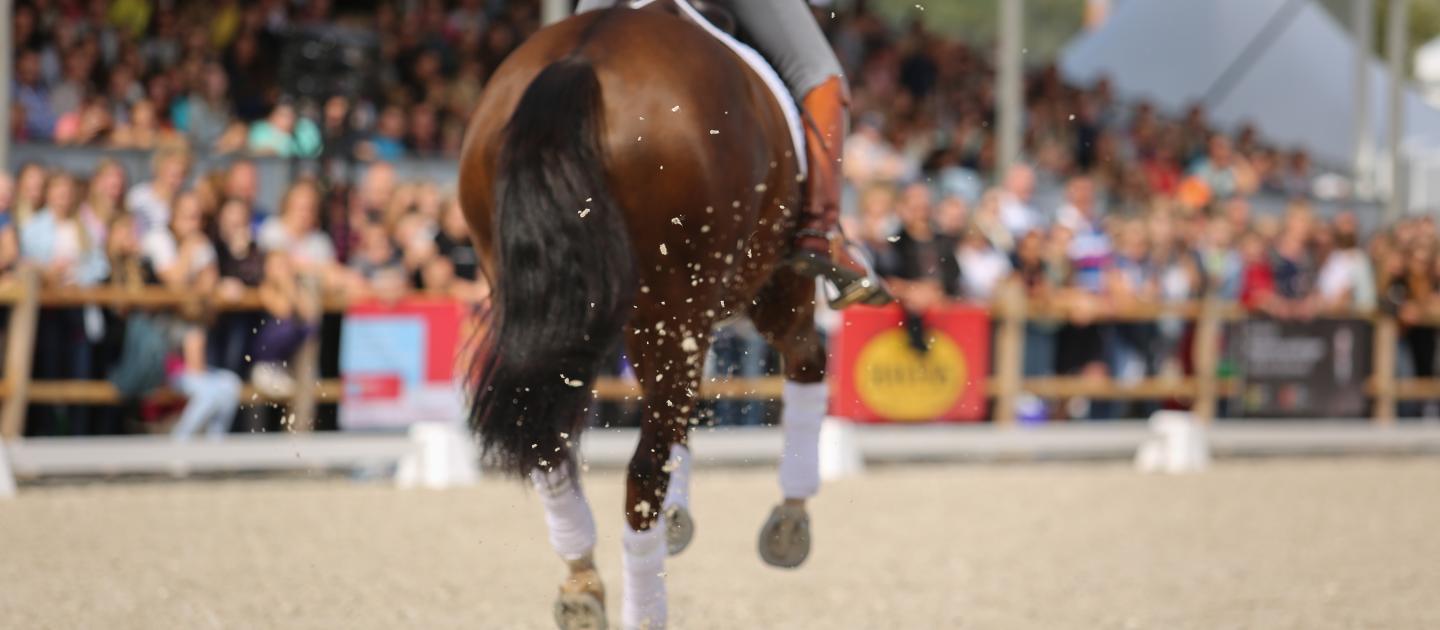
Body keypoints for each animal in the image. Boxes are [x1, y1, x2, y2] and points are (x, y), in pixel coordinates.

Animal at [459, 4, 829, 628]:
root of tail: (582, 61)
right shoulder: (769, 287)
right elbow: (805, 360)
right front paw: (790, 518)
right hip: (693, 302)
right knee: (644, 469)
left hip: (561, 312)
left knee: (549, 441)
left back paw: (583, 583)